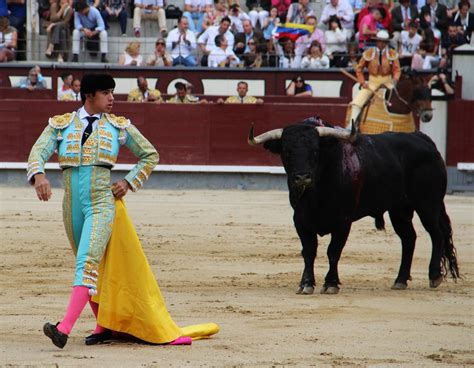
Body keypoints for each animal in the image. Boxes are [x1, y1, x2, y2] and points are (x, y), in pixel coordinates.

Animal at [248, 120, 460, 294]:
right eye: (287, 152)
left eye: (315, 151)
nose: (301, 178)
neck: (315, 195)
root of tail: (423, 139)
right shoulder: (300, 220)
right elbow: (309, 251)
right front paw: (306, 284)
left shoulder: (343, 221)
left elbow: (333, 251)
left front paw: (331, 284)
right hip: (399, 209)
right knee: (409, 238)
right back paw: (400, 280)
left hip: (428, 204)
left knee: (436, 234)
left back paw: (434, 276)